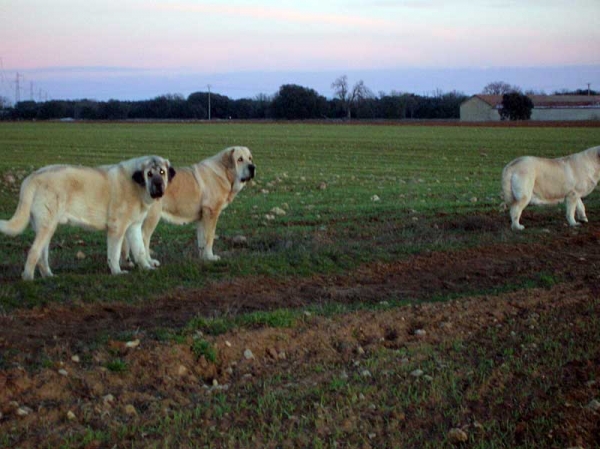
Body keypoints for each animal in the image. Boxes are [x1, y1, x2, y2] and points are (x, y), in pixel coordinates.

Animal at [1, 156, 176, 278]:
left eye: (162, 172)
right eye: (149, 174)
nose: (159, 185)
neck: (137, 185)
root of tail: (32, 177)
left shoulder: (134, 227)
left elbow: (140, 250)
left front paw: (147, 267)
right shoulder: (117, 228)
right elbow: (114, 253)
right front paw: (117, 272)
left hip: (47, 227)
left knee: (42, 255)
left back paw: (48, 276)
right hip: (47, 226)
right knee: (34, 252)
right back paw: (28, 278)